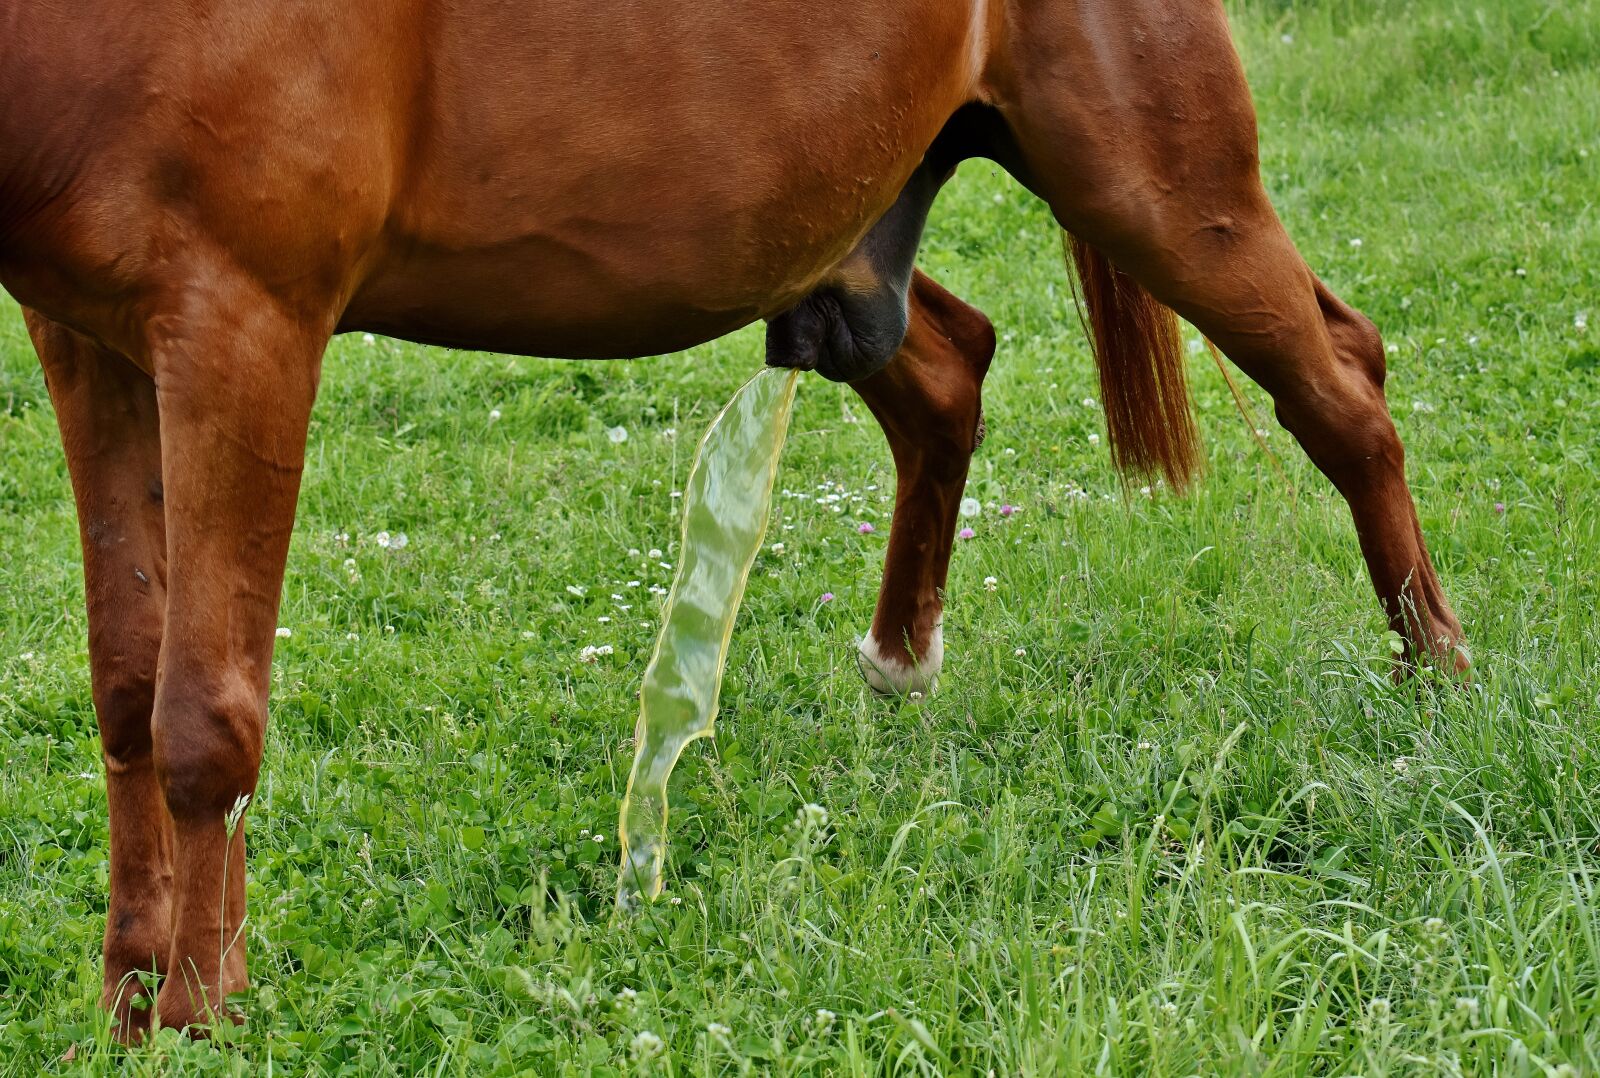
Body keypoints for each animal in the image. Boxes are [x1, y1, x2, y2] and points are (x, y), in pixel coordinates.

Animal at [0, 0, 1467, 1038]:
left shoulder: (245, 326)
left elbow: (203, 712)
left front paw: (199, 1016)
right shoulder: (96, 345)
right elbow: (128, 691)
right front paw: (130, 1000)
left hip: (1158, 181)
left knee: (1344, 387)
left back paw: (1438, 678)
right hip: (855, 248)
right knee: (954, 375)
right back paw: (899, 668)